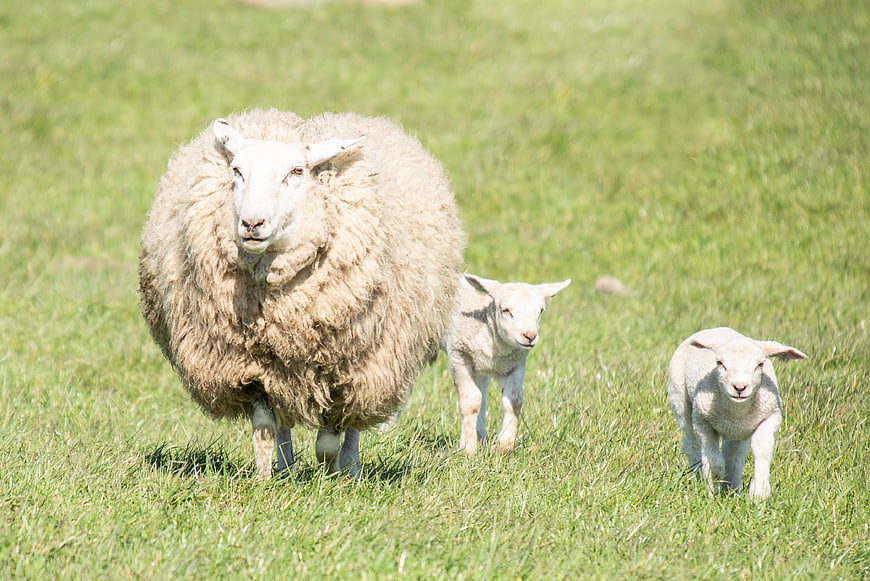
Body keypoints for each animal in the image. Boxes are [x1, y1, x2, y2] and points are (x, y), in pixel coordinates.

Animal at [139, 109, 465, 480]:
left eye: (296, 172)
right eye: (237, 171)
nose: (252, 224)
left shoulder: (342, 368)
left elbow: (329, 438)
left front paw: (330, 474)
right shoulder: (254, 365)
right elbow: (264, 429)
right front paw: (265, 480)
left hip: (371, 363)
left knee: (354, 422)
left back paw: (350, 471)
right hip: (286, 369)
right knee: (283, 421)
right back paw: (286, 468)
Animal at [445, 274, 571, 455]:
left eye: (540, 311)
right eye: (505, 310)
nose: (529, 336)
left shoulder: (515, 364)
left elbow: (514, 401)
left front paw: (504, 445)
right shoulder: (459, 356)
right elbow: (471, 402)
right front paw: (468, 448)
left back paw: (481, 436)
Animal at [667, 327, 807, 500]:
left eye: (760, 364)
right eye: (720, 363)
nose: (739, 387)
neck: (737, 410)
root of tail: (716, 328)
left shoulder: (770, 418)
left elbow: (762, 451)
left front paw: (759, 493)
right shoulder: (702, 422)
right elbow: (714, 461)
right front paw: (713, 489)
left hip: (737, 431)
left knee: (733, 453)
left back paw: (731, 487)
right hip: (680, 401)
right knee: (692, 444)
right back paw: (702, 478)